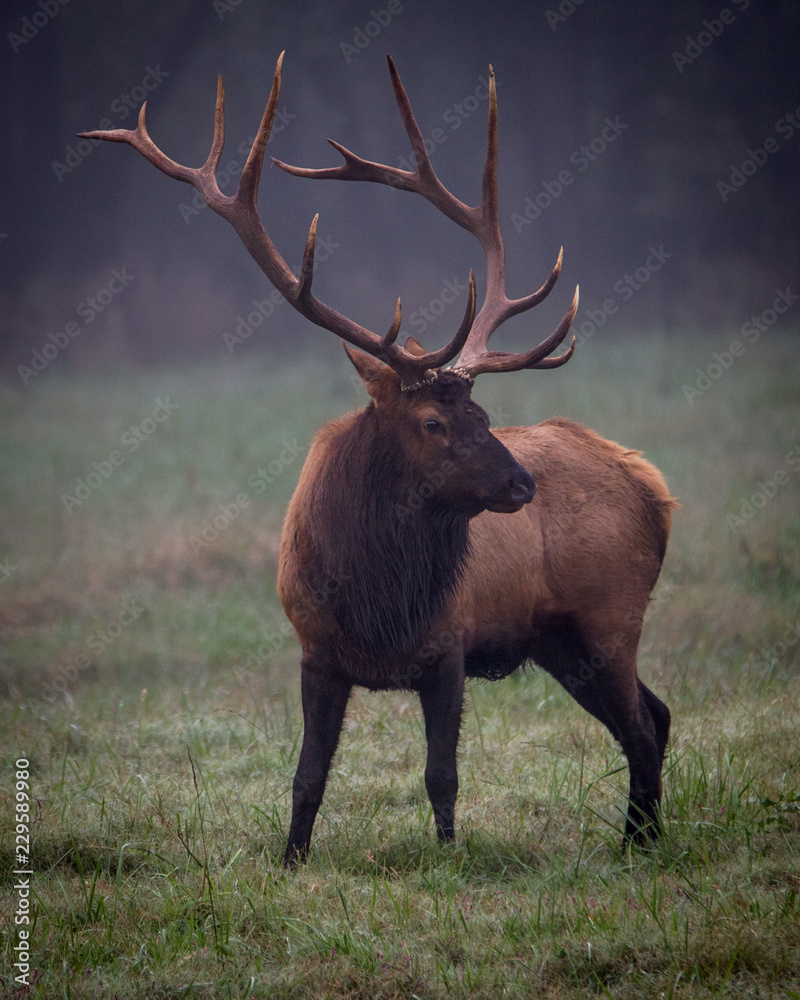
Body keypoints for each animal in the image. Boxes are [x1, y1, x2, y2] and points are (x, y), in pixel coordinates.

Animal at [81, 52, 677, 867]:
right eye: (433, 420)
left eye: (484, 414)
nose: (520, 482)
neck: (377, 601)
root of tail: (653, 484)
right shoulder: (315, 650)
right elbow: (306, 775)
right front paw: (292, 861)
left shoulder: (449, 646)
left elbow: (441, 775)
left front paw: (449, 858)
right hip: (564, 640)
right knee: (655, 715)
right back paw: (640, 839)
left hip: (609, 614)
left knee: (644, 726)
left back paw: (638, 847)